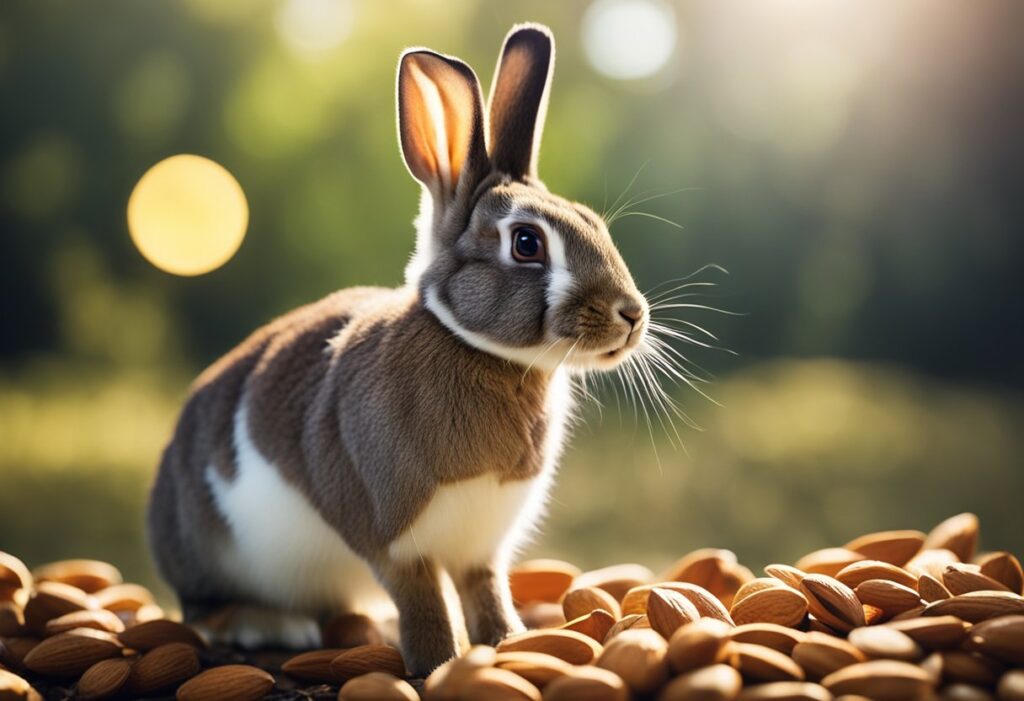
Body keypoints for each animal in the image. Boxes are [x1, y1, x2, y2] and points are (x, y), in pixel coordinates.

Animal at [147, 22, 649, 676]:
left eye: (594, 223)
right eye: (526, 243)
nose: (632, 315)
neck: (478, 349)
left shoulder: (480, 547)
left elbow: (484, 591)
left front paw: (509, 644)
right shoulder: (391, 534)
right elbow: (422, 597)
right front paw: (438, 664)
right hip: (210, 550)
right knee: (207, 610)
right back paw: (270, 624)